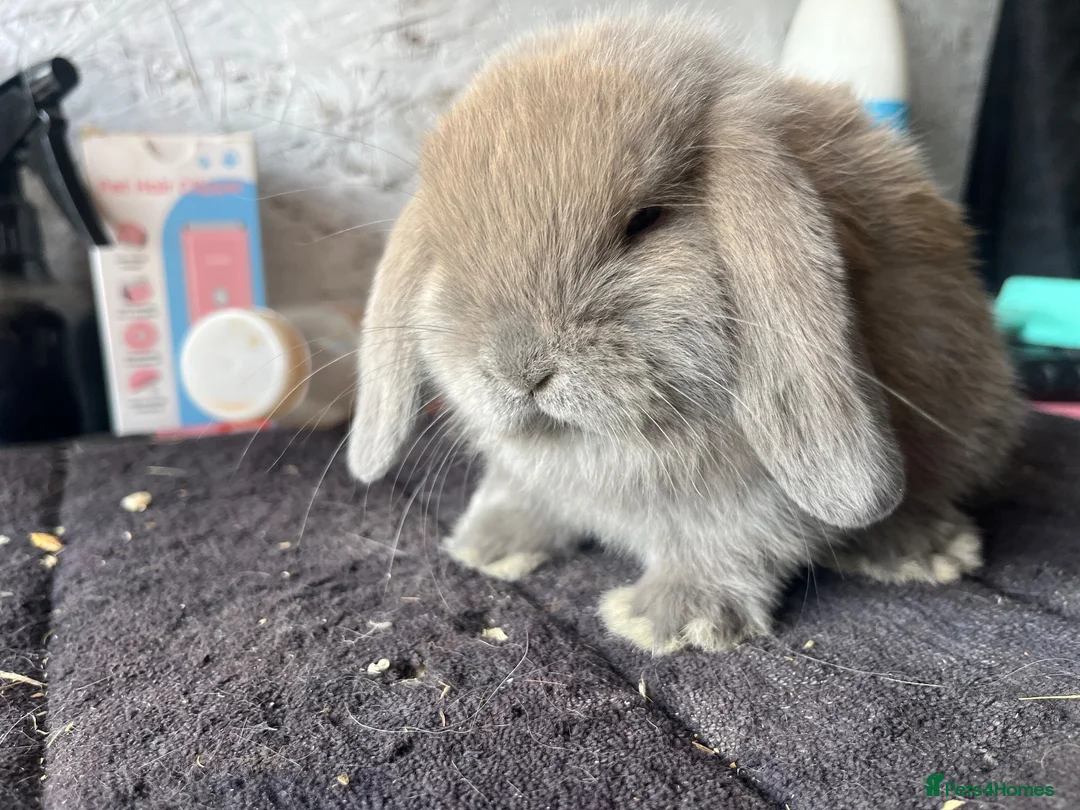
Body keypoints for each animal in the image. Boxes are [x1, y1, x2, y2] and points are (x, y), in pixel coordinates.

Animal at [346, 14, 1026, 654]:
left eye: (644, 223)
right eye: (447, 247)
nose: (519, 370)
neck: (598, 444)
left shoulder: (755, 498)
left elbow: (731, 543)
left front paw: (668, 620)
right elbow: (523, 495)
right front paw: (487, 545)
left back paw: (921, 549)